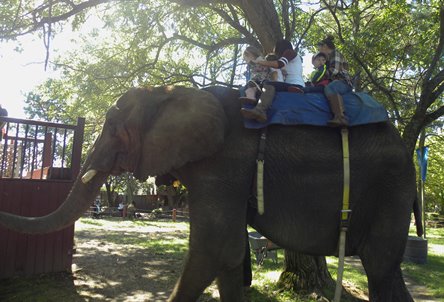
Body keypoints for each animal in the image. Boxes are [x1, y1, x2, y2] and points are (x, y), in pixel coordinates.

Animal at [0, 85, 420, 302]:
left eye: (115, 126)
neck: (172, 93)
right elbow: (230, 258)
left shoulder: (222, 166)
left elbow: (213, 250)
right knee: (384, 269)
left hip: (391, 186)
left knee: (380, 266)